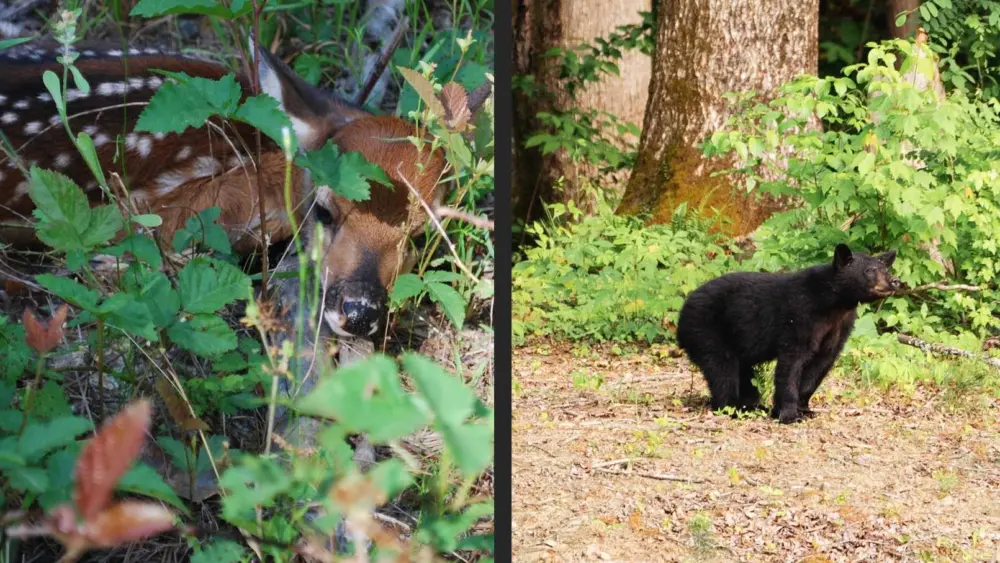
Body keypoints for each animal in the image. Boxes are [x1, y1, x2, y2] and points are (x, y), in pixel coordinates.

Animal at [676, 244, 901, 424]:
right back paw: (734, 408)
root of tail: (682, 313)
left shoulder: (839, 326)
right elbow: (792, 361)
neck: (834, 304)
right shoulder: (800, 315)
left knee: (743, 373)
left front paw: (804, 409)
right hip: (707, 330)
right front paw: (790, 414)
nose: (895, 281)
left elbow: (821, 362)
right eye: (870, 270)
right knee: (722, 370)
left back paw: (754, 406)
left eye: (885, 268)